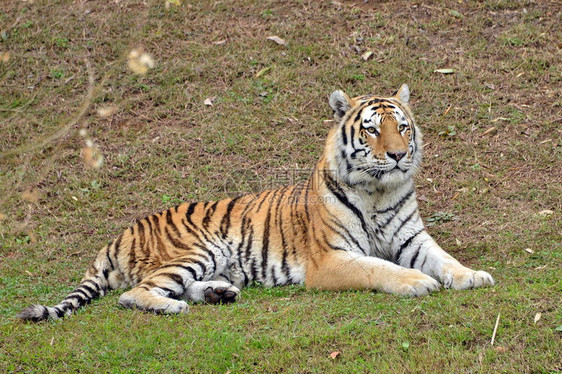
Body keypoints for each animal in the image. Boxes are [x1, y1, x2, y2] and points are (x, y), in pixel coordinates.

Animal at [17, 84, 492, 322]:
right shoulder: (332, 258)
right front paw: (416, 282)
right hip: (196, 249)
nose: (397, 154)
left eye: (403, 127)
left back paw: (218, 293)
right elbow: (379, 268)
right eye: (373, 129)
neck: (379, 190)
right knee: (136, 293)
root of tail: (118, 235)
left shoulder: (413, 239)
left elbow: (445, 259)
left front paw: (473, 276)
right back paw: (174, 306)